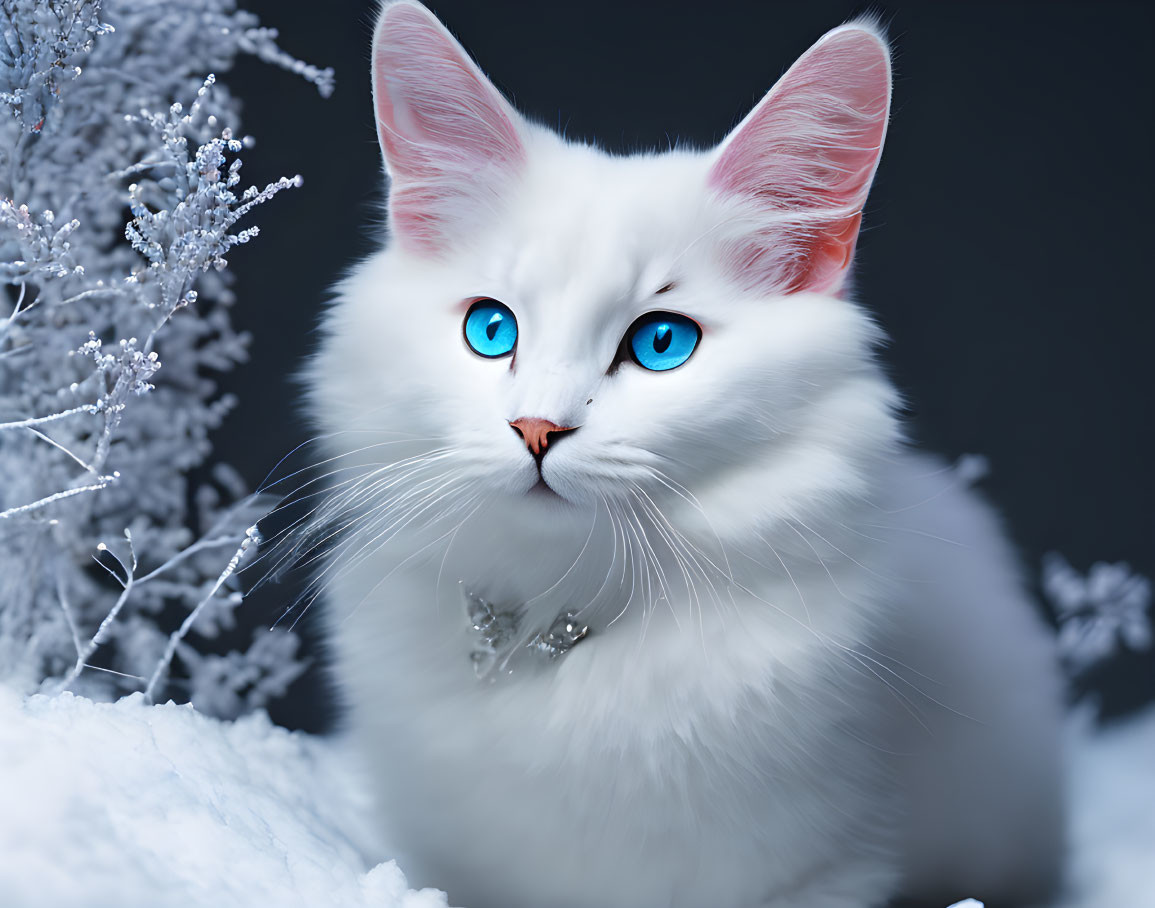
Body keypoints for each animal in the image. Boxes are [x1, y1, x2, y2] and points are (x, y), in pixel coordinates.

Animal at [304, 3, 1062, 901]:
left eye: (661, 343)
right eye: (491, 330)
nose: (536, 430)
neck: (555, 630)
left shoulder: (825, 870)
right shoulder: (443, 858)